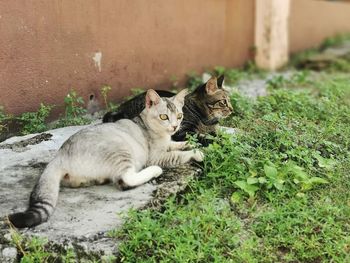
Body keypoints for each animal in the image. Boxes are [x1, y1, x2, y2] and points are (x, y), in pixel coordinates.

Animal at [8, 89, 204, 229]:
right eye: (164, 116)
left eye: (179, 116)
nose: (175, 126)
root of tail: (60, 155)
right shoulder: (156, 156)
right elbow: (178, 154)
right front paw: (198, 152)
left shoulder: (168, 143)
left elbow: (180, 144)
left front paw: (194, 143)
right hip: (120, 150)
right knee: (125, 180)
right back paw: (154, 171)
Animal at [102, 75, 232, 146]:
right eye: (223, 102)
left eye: (230, 101)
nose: (232, 109)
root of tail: (121, 107)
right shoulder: (184, 132)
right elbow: (205, 139)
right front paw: (222, 143)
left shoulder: (214, 130)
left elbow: (218, 135)